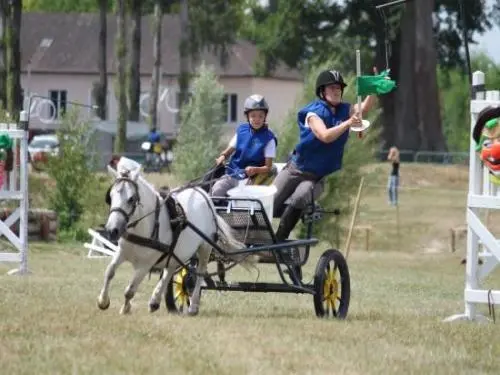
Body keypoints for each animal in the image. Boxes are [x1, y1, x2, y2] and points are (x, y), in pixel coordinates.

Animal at [98, 157, 252, 316]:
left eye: (131, 199)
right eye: (110, 197)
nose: (112, 230)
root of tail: (203, 194)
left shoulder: (145, 264)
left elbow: (130, 289)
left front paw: (125, 308)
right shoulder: (121, 252)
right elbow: (109, 272)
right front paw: (103, 301)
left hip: (205, 247)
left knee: (200, 273)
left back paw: (193, 306)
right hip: (176, 252)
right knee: (170, 270)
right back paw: (155, 301)